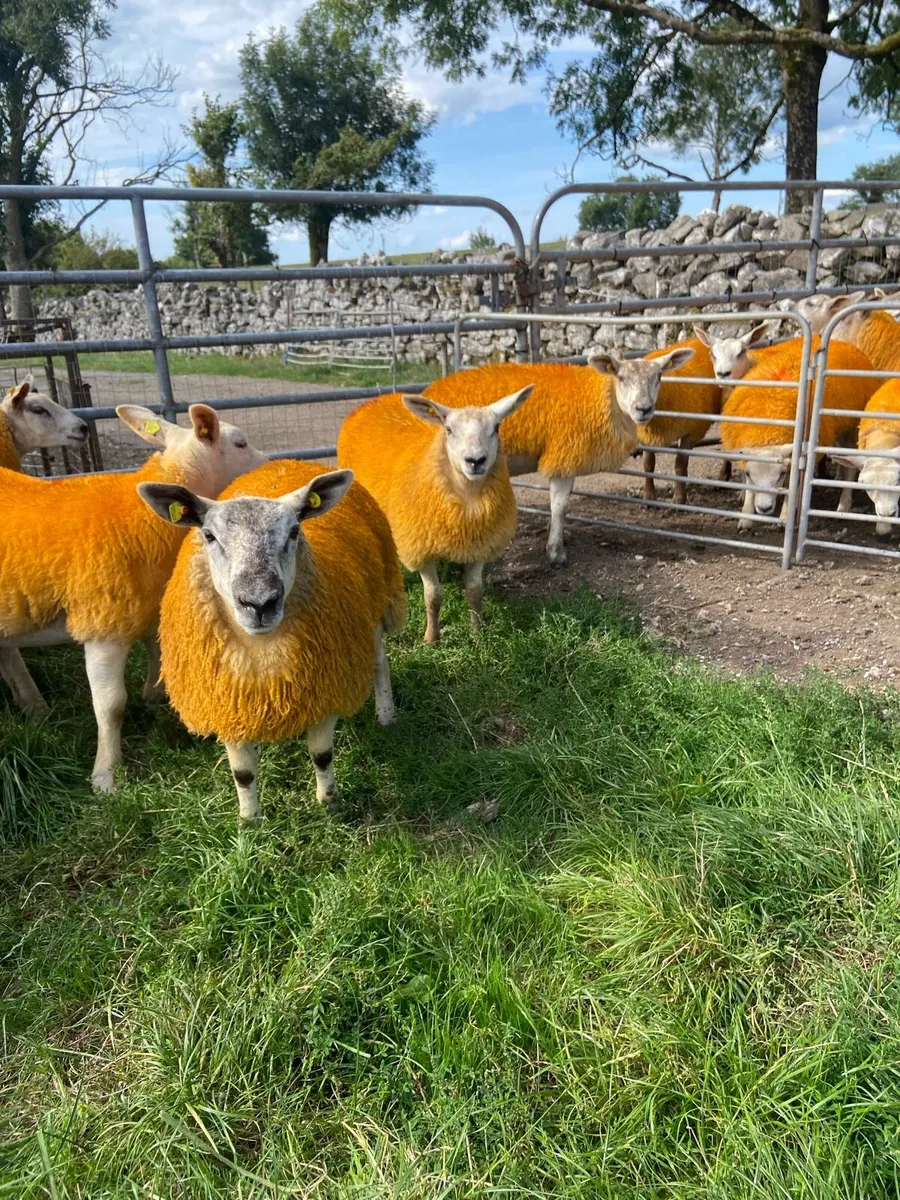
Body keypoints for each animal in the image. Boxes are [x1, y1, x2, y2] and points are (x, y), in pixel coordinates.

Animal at [138, 460, 407, 822]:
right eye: (208, 535)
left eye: (294, 531)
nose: (259, 602)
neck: (261, 648)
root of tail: (289, 462)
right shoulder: (226, 700)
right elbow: (243, 773)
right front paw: (249, 821)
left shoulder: (327, 686)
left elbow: (322, 755)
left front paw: (329, 805)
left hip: (377, 605)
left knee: (379, 664)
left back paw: (387, 716)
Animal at [337, 386, 532, 643]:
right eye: (448, 430)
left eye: (496, 427)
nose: (475, 460)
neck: (468, 500)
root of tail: (379, 398)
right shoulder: (422, 548)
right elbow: (434, 597)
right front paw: (431, 638)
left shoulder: (480, 545)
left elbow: (475, 592)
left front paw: (477, 634)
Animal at [422, 347, 695, 567]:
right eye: (621, 377)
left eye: (658, 377)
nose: (643, 409)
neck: (602, 402)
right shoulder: (563, 457)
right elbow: (560, 507)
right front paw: (556, 553)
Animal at [637, 337, 722, 506]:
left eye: (657, 376)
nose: (641, 408)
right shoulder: (646, 434)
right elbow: (648, 464)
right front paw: (649, 496)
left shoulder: (692, 432)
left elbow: (680, 465)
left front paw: (679, 499)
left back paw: (724, 476)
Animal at [719, 338, 878, 531]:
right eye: (749, 474)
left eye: (780, 474)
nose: (764, 508)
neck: (767, 426)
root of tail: (841, 342)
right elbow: (750, 489)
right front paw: (746, 517)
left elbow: (791, 485)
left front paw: (785, 517)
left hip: (853, 425)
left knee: (850, 468)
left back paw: (843, 505)